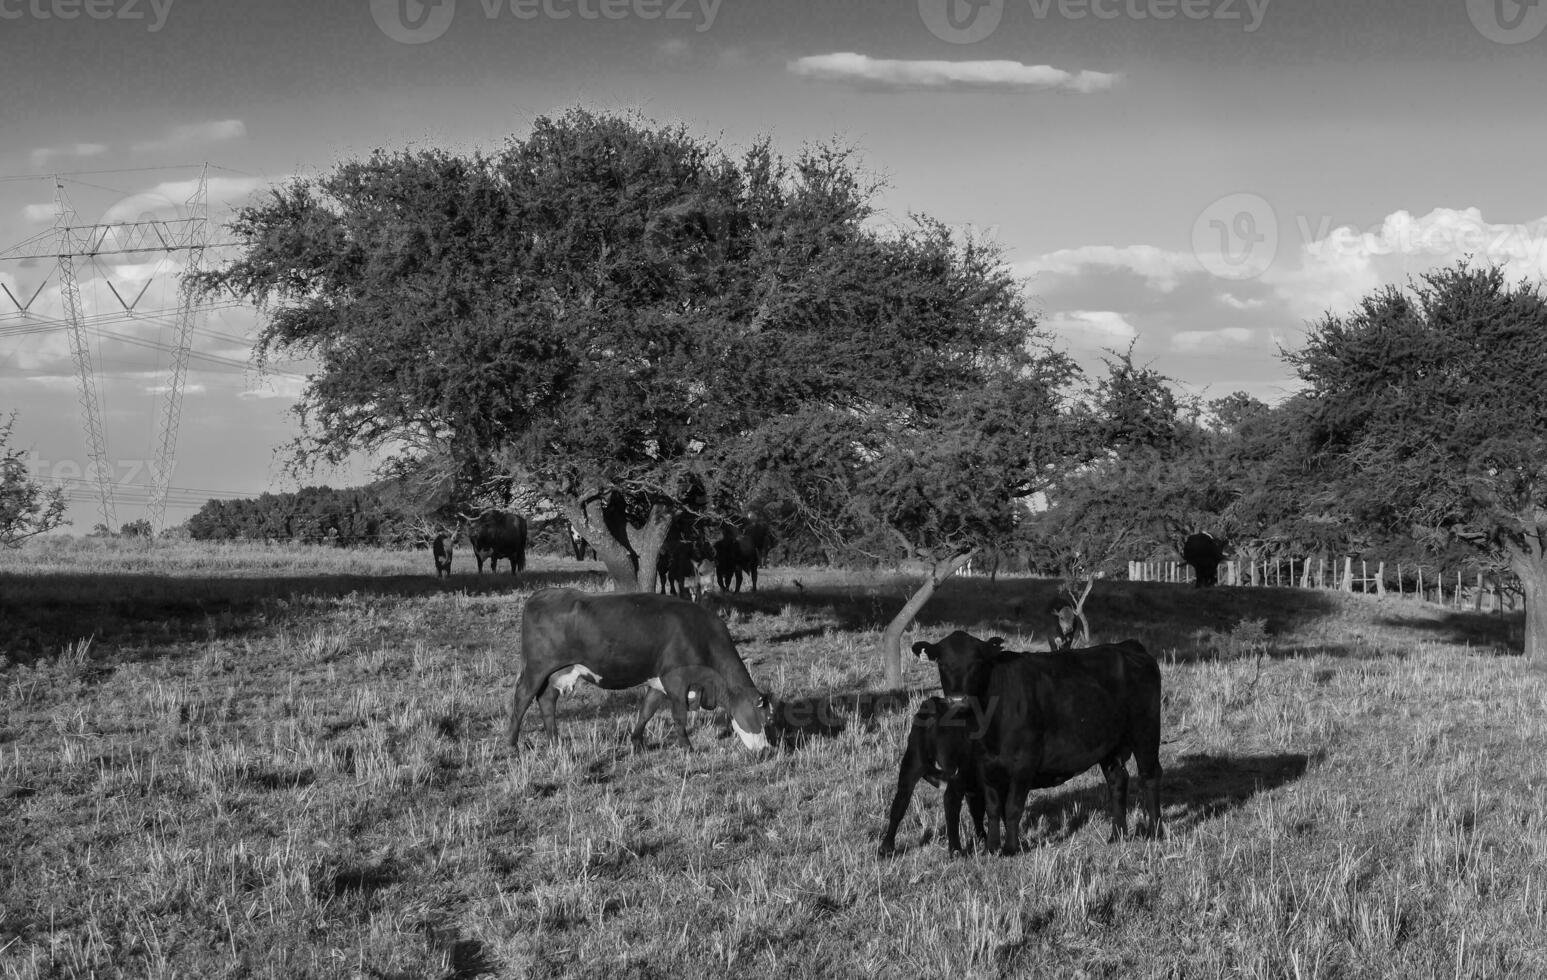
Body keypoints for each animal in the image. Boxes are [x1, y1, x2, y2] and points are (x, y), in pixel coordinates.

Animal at [507, 588, 773, 749]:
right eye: (760, 717)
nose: (765, 749)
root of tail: (542, 594)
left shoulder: (657, 681)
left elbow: (646, 711)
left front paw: (637, 742)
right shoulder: (676, 680)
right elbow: (679, 715)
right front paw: (687, 747)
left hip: (557, 672)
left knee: (546, 700)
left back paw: (556, 741)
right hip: (537, 668)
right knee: (522, 698)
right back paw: (512, 744)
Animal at [878, 696, 983, 854]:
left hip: (912, 762)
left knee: (899, 803)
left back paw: (886, 847)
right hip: (955, 770)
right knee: (950, 800)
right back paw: (956, 850)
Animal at [903, 631, 1163, 854]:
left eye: (976, 663)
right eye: (942, 663)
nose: (958, 701)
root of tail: (1127, 646)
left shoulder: (1024, 763)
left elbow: (1012, 808)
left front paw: (1010, 848)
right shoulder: (986, 765)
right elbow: (993, 808)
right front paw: (992, 847)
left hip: (1146, 732)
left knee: (1150, 776)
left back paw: (1155, 832)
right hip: (1110, 744)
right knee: (1117, 780)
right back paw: (1117, 835)